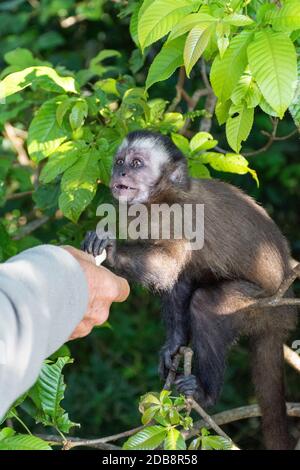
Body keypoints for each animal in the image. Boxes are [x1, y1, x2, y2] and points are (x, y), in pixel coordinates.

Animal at [82, 130, 298, 450]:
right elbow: (178, 279)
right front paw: (173, 345)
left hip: (265, 307)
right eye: (120, 161)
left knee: (206, 301)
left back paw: (206, 393)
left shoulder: (174, 216)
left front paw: (110, 248)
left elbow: (167, 267)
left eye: (136, 163)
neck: (161, 196)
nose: (119, 173)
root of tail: (283, 319)